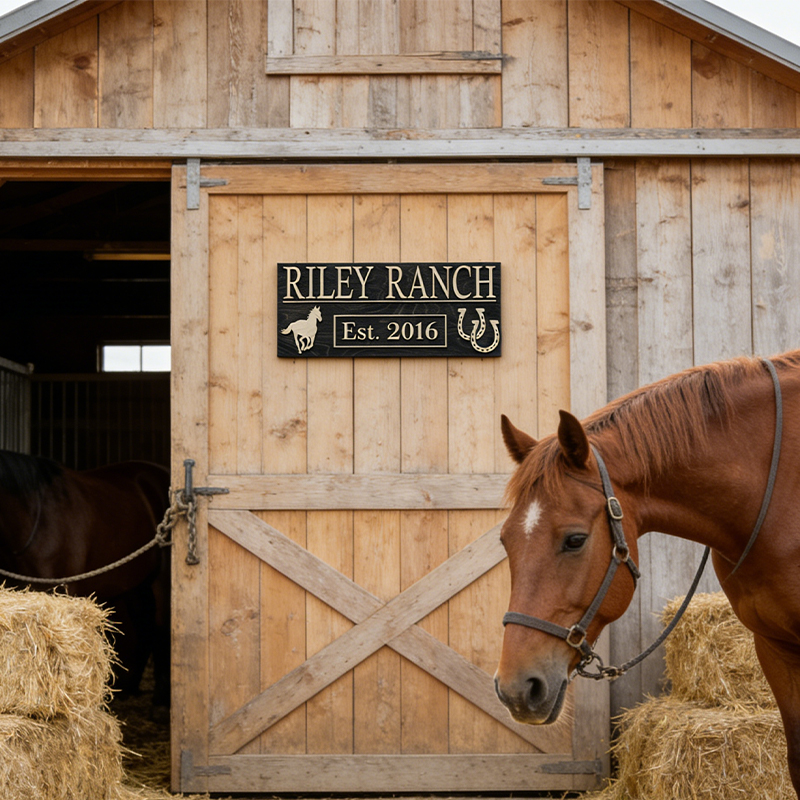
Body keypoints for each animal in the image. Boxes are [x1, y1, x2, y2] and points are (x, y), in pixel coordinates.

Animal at [0, 451, 171, 708]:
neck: (33, 520)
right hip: (135, 586)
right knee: (144, 625)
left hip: (160, 581)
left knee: (160, 625)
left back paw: (161, 698)